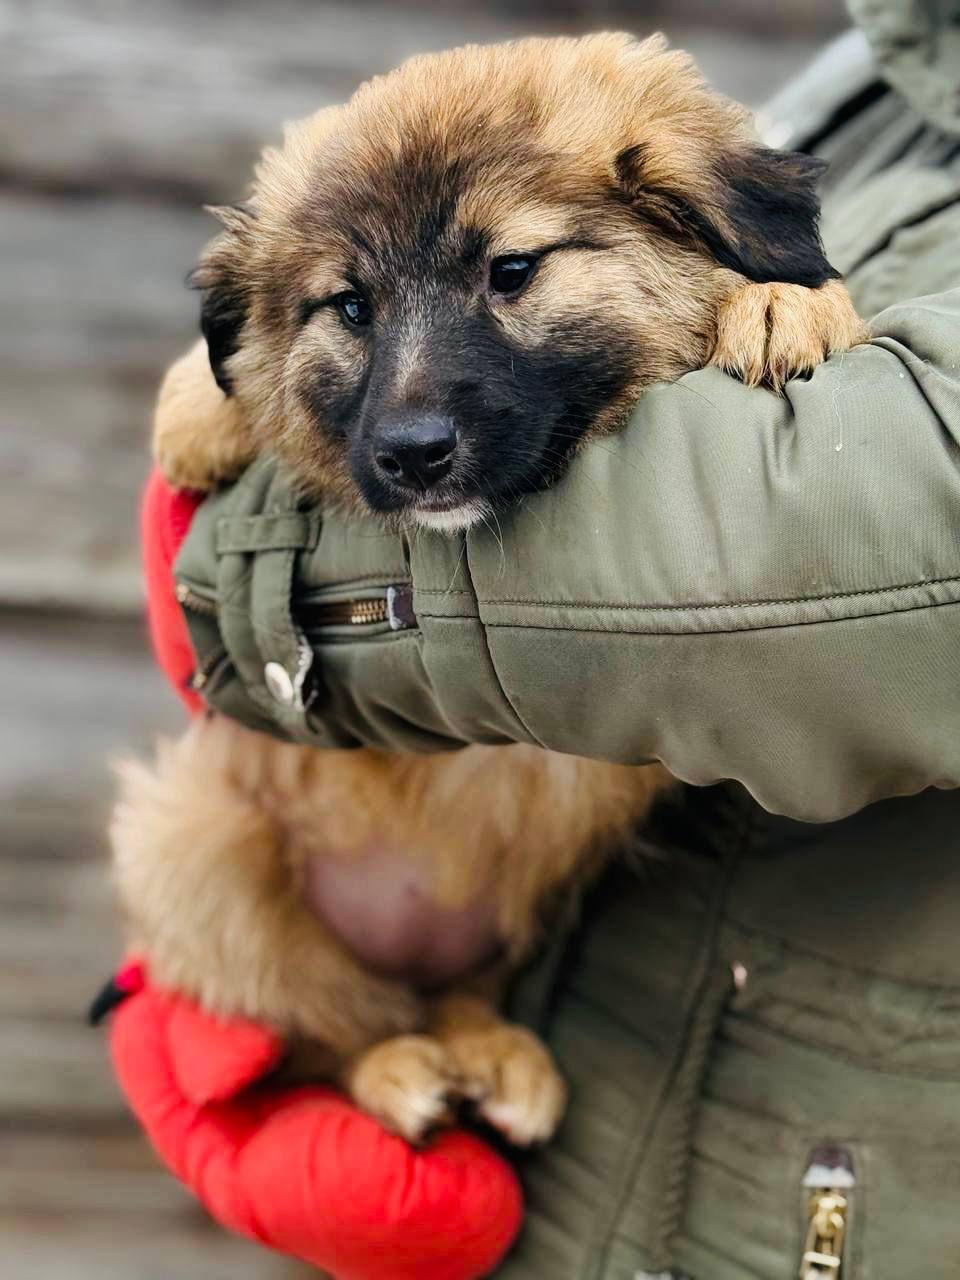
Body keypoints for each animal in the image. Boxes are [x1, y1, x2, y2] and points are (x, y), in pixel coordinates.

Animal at [114, 33, 867, 1145]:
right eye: (351, 306)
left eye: (511, 271)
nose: (412, 453)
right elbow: (241, 367)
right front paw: (199, 409)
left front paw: (785, 302)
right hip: (193, 843)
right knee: (332, 1018)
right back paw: (400, 1074)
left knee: (448, 993)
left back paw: (494, 1058)